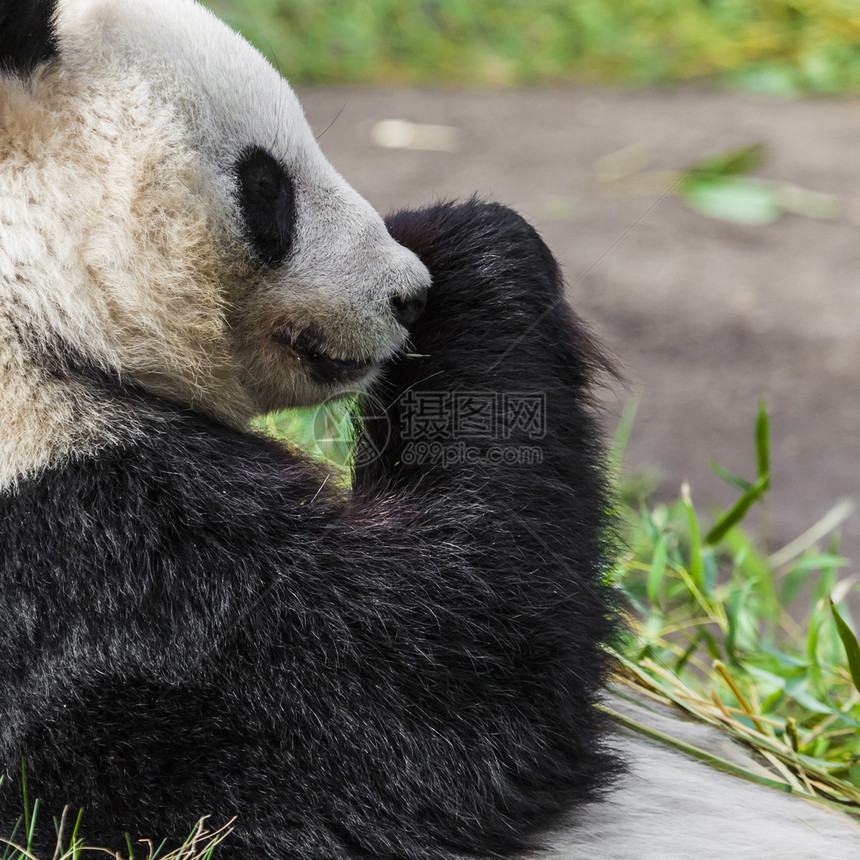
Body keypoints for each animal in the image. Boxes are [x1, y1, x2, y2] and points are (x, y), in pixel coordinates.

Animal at [0, 1, 856, 860]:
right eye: (267, 186)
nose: (407, 294)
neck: (28, 309)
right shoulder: (87, 569)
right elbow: (426, 690)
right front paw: (471, 239)